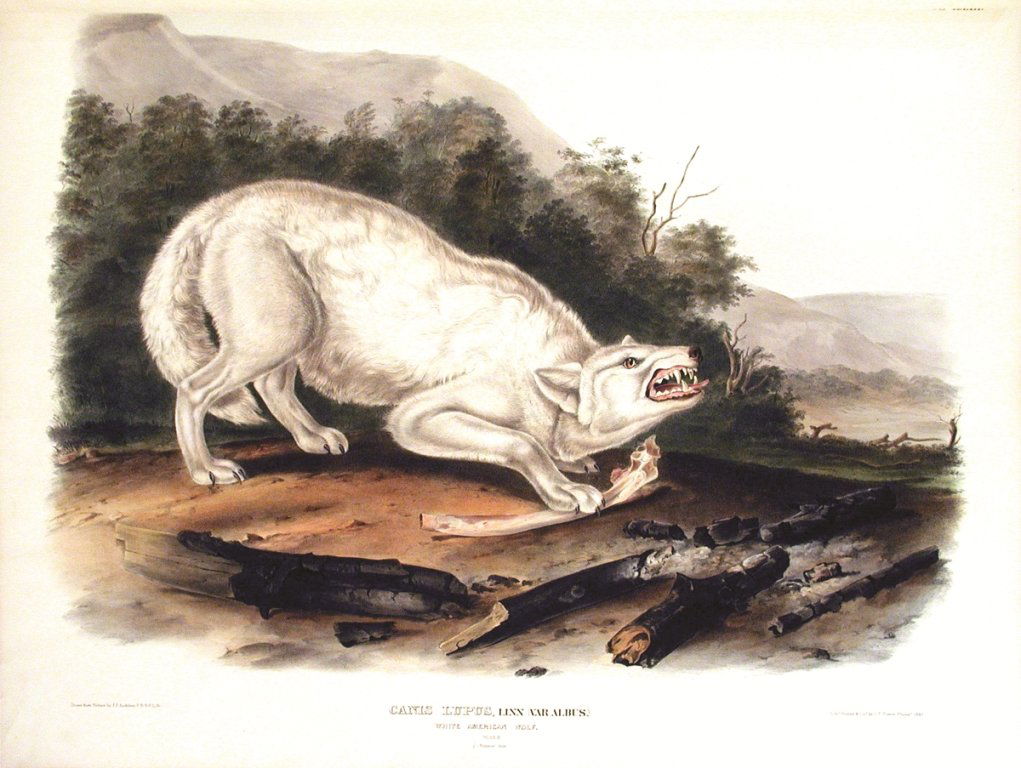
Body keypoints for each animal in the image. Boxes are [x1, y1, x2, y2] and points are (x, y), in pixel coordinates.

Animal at [140, 180, 708, 513]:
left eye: (656, 345)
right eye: (632, 361)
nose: (694, 351)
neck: (546, 365)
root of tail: (228, 201)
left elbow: (541, 443)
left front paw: (570, 465)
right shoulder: (421, 414)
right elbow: (519, 443)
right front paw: (562, 489)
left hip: (293, 329)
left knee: (272, 383)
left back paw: (313, 437)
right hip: (279, 326)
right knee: (195, 389)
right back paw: (205, 469)